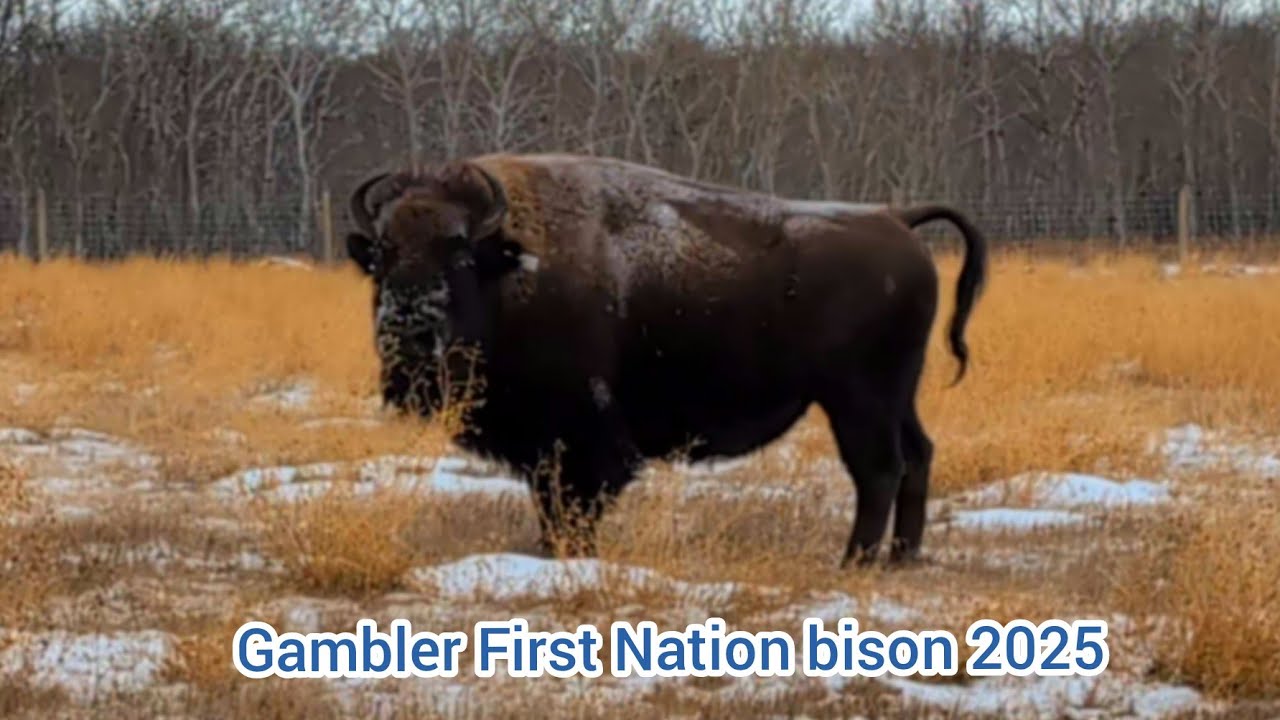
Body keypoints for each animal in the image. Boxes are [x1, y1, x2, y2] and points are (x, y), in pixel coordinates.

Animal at [345, 153, 986, 567]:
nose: (406, 325)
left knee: (878, 469)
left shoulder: (585, 439)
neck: (509, 267)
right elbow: (550, 506)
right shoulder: (544, 449)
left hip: (859, 399)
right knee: (917, 455)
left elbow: (574, 505)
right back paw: (902, 557)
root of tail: (894, 217)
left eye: (456, 254)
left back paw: (854, 561)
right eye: (381, 255)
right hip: (896, 395)